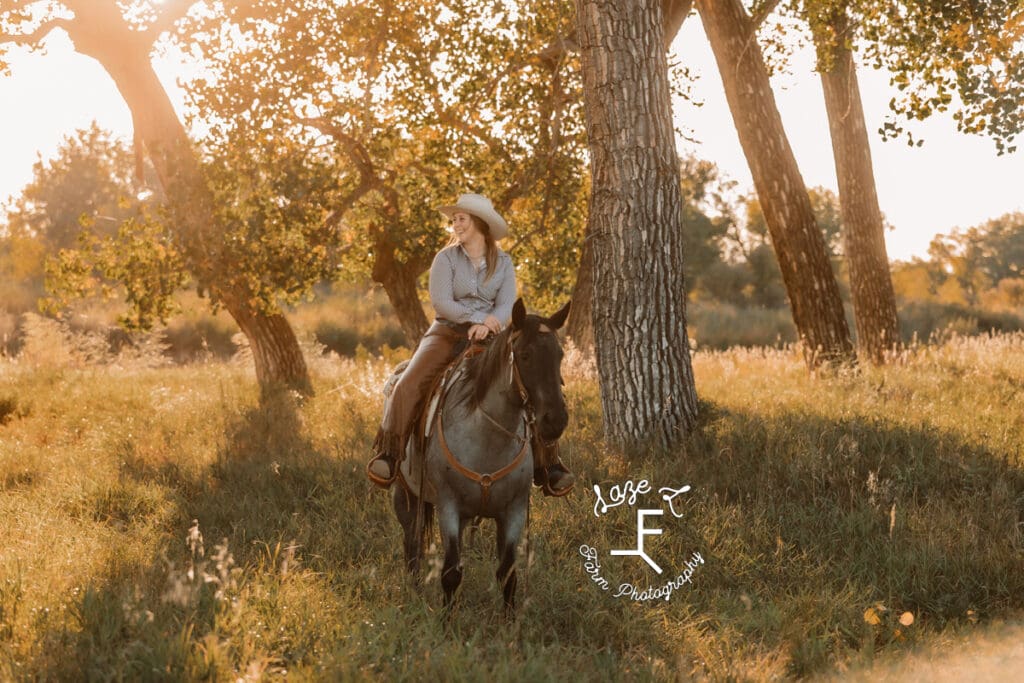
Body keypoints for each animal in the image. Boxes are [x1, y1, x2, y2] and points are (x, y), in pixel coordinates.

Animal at [389, 299, 569, 614]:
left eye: (559, 354)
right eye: (525, 355)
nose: (555, 421)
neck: (487, 437)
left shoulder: (513, 510)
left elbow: (507, 573)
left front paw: (509, 622)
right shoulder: (448, 507)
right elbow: (450, 573)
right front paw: (446, 622)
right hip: (406, 495)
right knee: (412, 545)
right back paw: (414, 594)